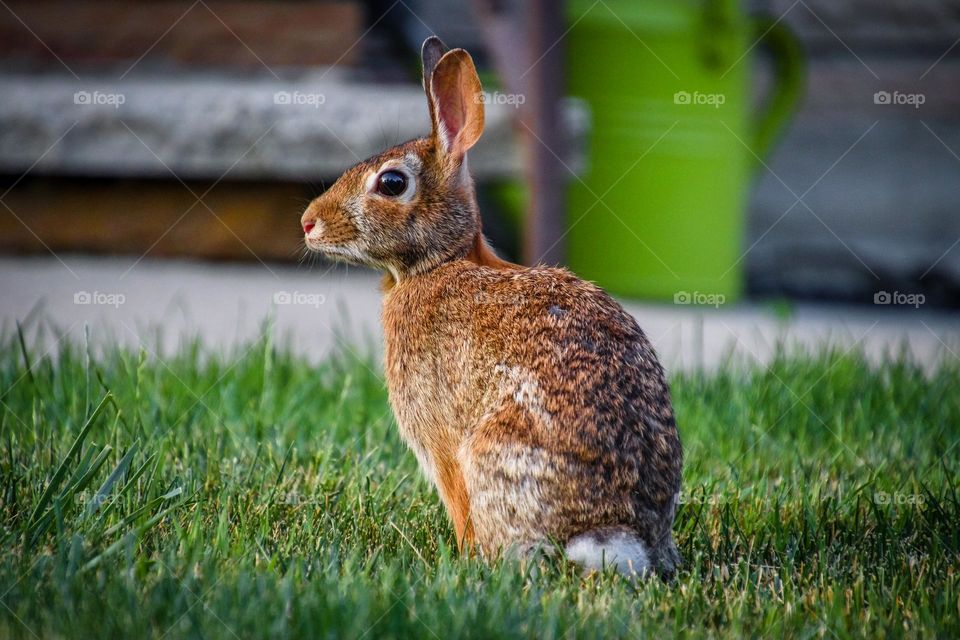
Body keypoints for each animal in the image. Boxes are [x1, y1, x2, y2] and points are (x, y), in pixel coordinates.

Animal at [300, 37, 684, 576]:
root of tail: (611, 530)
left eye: (391, 183)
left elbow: (456, 500)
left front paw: (464, 555)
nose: (307, 223)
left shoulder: (442, 443)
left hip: (493, 450)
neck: (439, 263)